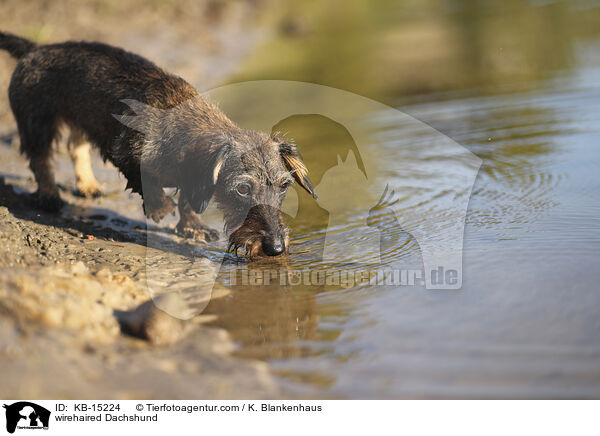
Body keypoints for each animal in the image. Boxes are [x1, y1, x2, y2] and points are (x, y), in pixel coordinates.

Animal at [0, 32, 316, 258]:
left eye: (284, 186)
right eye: (242, 189)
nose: (276, 248)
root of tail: (35, 49)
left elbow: (187, 198)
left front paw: (193, 227)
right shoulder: (125, 151)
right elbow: (146, 180)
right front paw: (158, 206)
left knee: (75, 146)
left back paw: (88, 185)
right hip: (37, 121)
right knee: (41, 160)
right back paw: (49, 195)